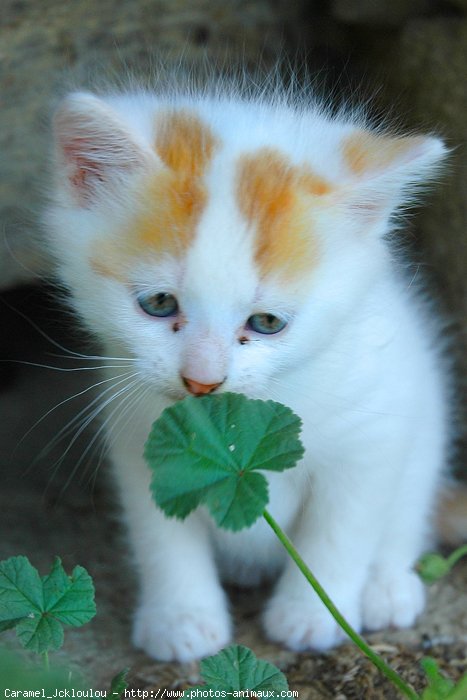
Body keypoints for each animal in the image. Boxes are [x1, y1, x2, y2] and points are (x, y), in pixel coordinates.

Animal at [44, 76, 450, 660]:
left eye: (266, 322)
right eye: (159, 303)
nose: (202, 379)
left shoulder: (371, 433)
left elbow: (341, 529)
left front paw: (311, 614)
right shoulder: (143, 437)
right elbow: (162, 534)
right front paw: (183, 618)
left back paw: (386, 587)